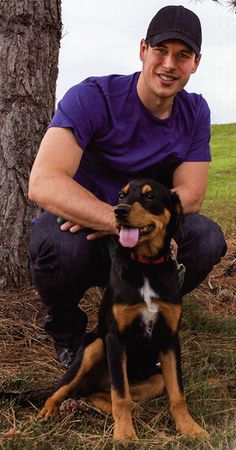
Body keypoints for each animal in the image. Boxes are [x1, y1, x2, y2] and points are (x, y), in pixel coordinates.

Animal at [39, 179, 207, 442]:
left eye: (149, 197)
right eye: (121, 195)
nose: (119, 211)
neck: (146, 266)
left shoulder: (170, 339)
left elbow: (177, 394)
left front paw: (190, 428)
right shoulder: (115, 338)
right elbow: (120, 395)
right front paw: (125, 435)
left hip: (155, 378)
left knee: (100, 395)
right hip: (94, 346)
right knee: (65, 388)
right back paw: (49, 410)